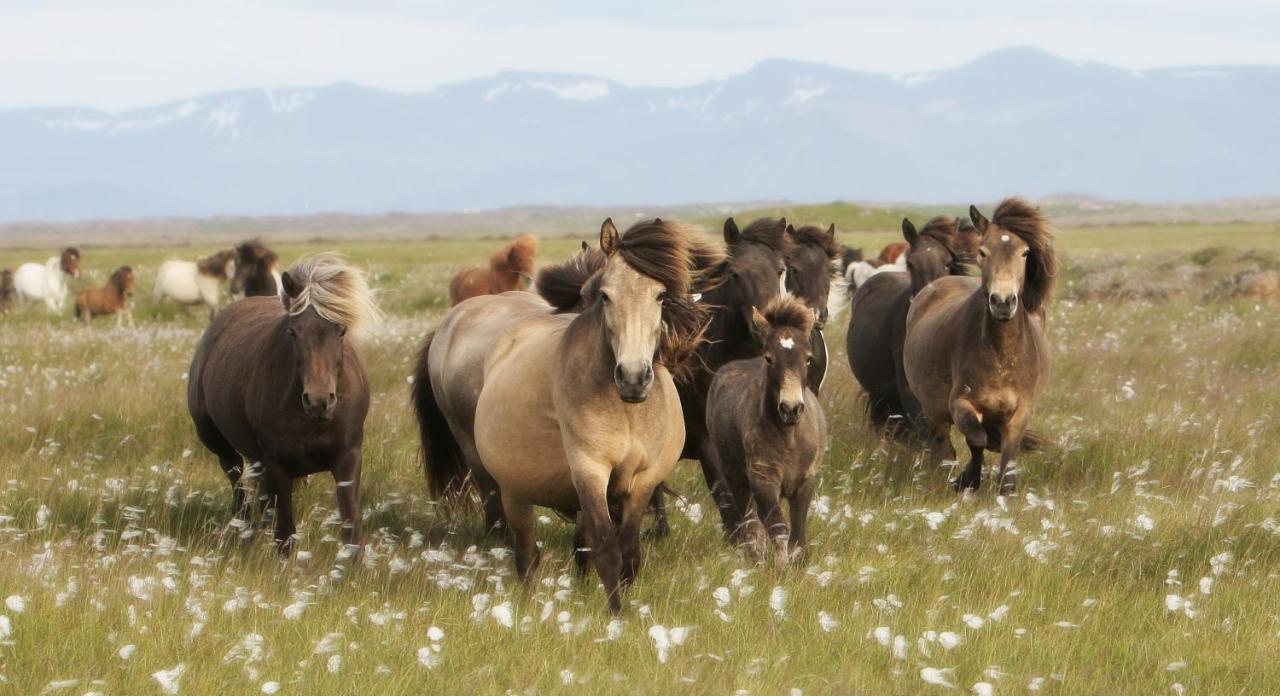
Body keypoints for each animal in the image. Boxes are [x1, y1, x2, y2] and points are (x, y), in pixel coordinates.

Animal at [473, 218, 721, 614]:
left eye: (660, 295)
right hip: (514, 493)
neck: (627, 410)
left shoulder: (644, 479)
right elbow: (607, 549)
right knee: (527, 557)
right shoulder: (590, 470)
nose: (633, 376)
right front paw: (615, 614)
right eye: (605, 295)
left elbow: (629, 551)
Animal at [706, 299, 824, 565]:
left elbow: (798, 534)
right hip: (737, 478)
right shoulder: (763, 478)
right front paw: (779, 567)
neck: (789, 437)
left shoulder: (805, 481)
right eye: (769, 358)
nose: (791, 408)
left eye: (808, 358)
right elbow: (777, 528)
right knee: (751, 523)